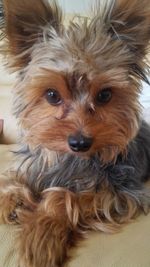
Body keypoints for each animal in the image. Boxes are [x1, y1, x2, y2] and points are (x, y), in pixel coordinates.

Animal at [0, 0, 150, 266]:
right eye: (52, 95)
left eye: (104, 95)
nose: (80, 143)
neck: (71, 159)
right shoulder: (32, 165)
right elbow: (10, 180)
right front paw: (14, 201)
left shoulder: (122, 192)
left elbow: (66, 197)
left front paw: (42, 232)